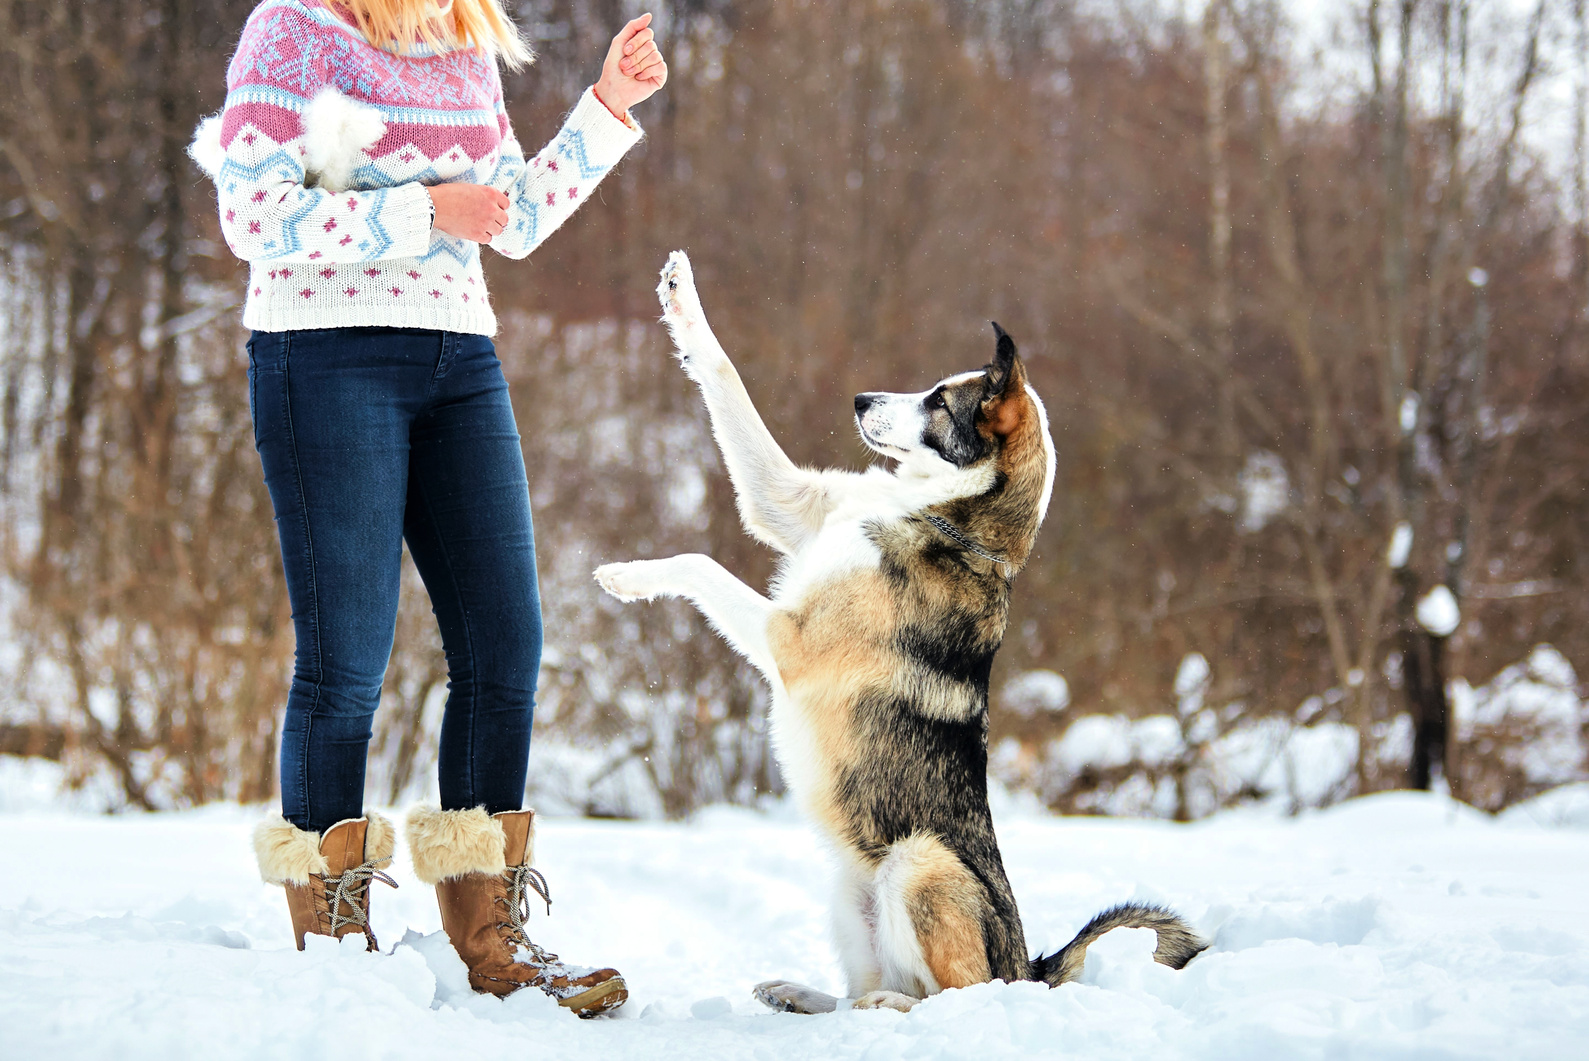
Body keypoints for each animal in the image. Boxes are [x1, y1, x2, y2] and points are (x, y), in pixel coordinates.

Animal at [597, 250, 1201, 1010]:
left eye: (938, 401)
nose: (859, 399)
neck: (939, 512)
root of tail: (1027, 967)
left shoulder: (789, 641)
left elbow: (699, 563)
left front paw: (625, 577)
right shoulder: (786, 501)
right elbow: (724, 373)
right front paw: (681, 296)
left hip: (919, 862)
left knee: (952, 994)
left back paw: (888, 1004)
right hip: (848, 885)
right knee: (859, 993)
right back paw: (803, 995)